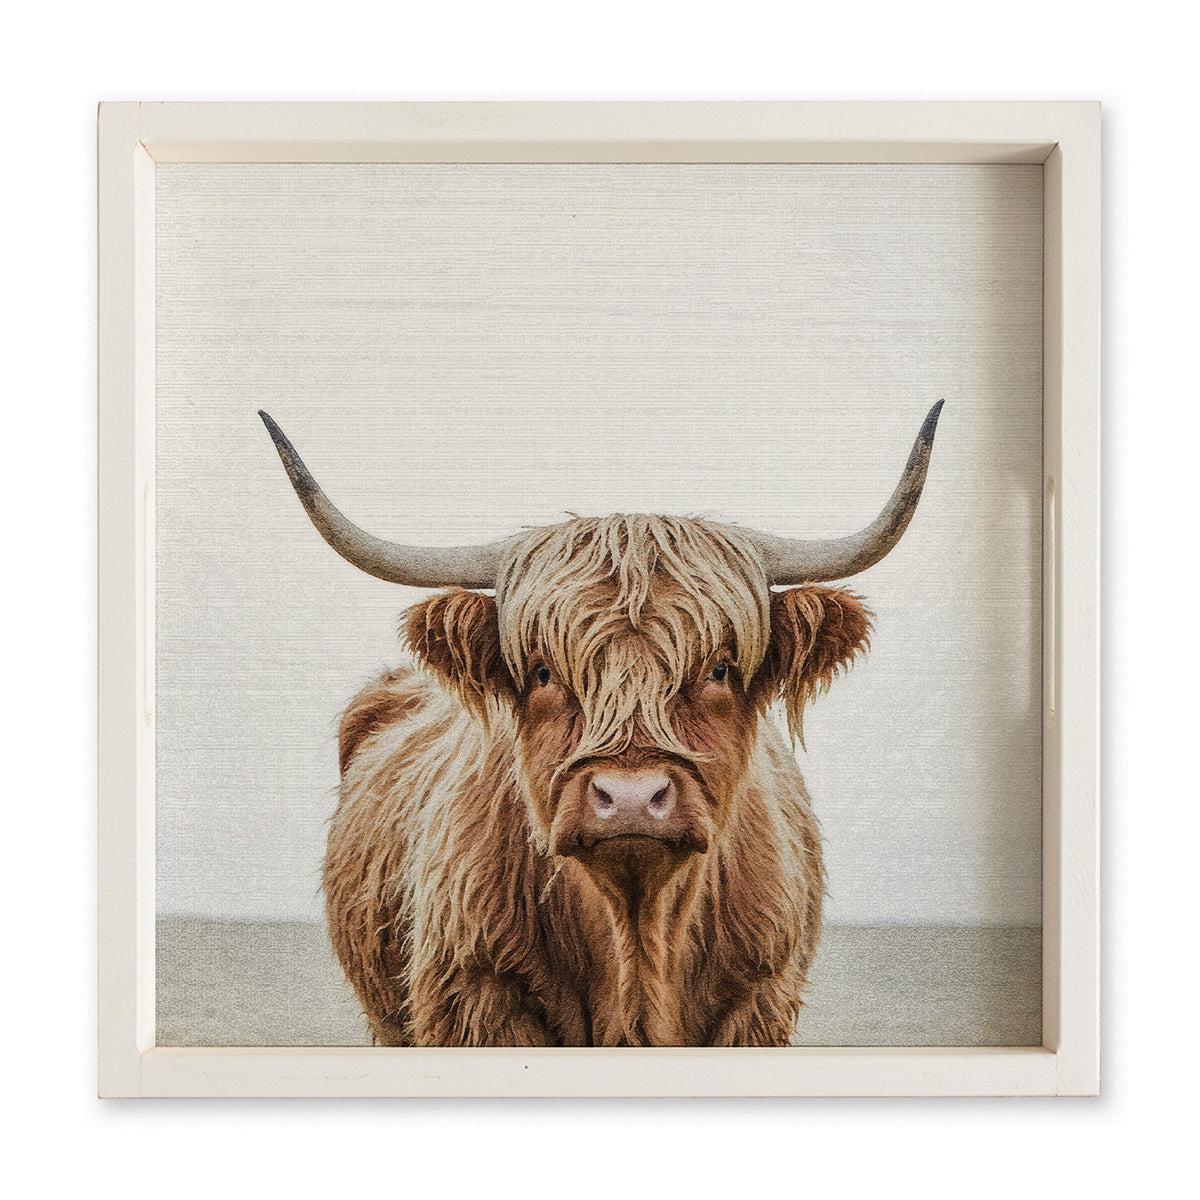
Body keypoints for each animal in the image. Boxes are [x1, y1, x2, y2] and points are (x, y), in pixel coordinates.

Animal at [260, 402, 942, 1046]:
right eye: (541, 671)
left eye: (721, 667)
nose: (632, 799)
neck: (635, 940)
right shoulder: (478, 997)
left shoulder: (757, 1000)